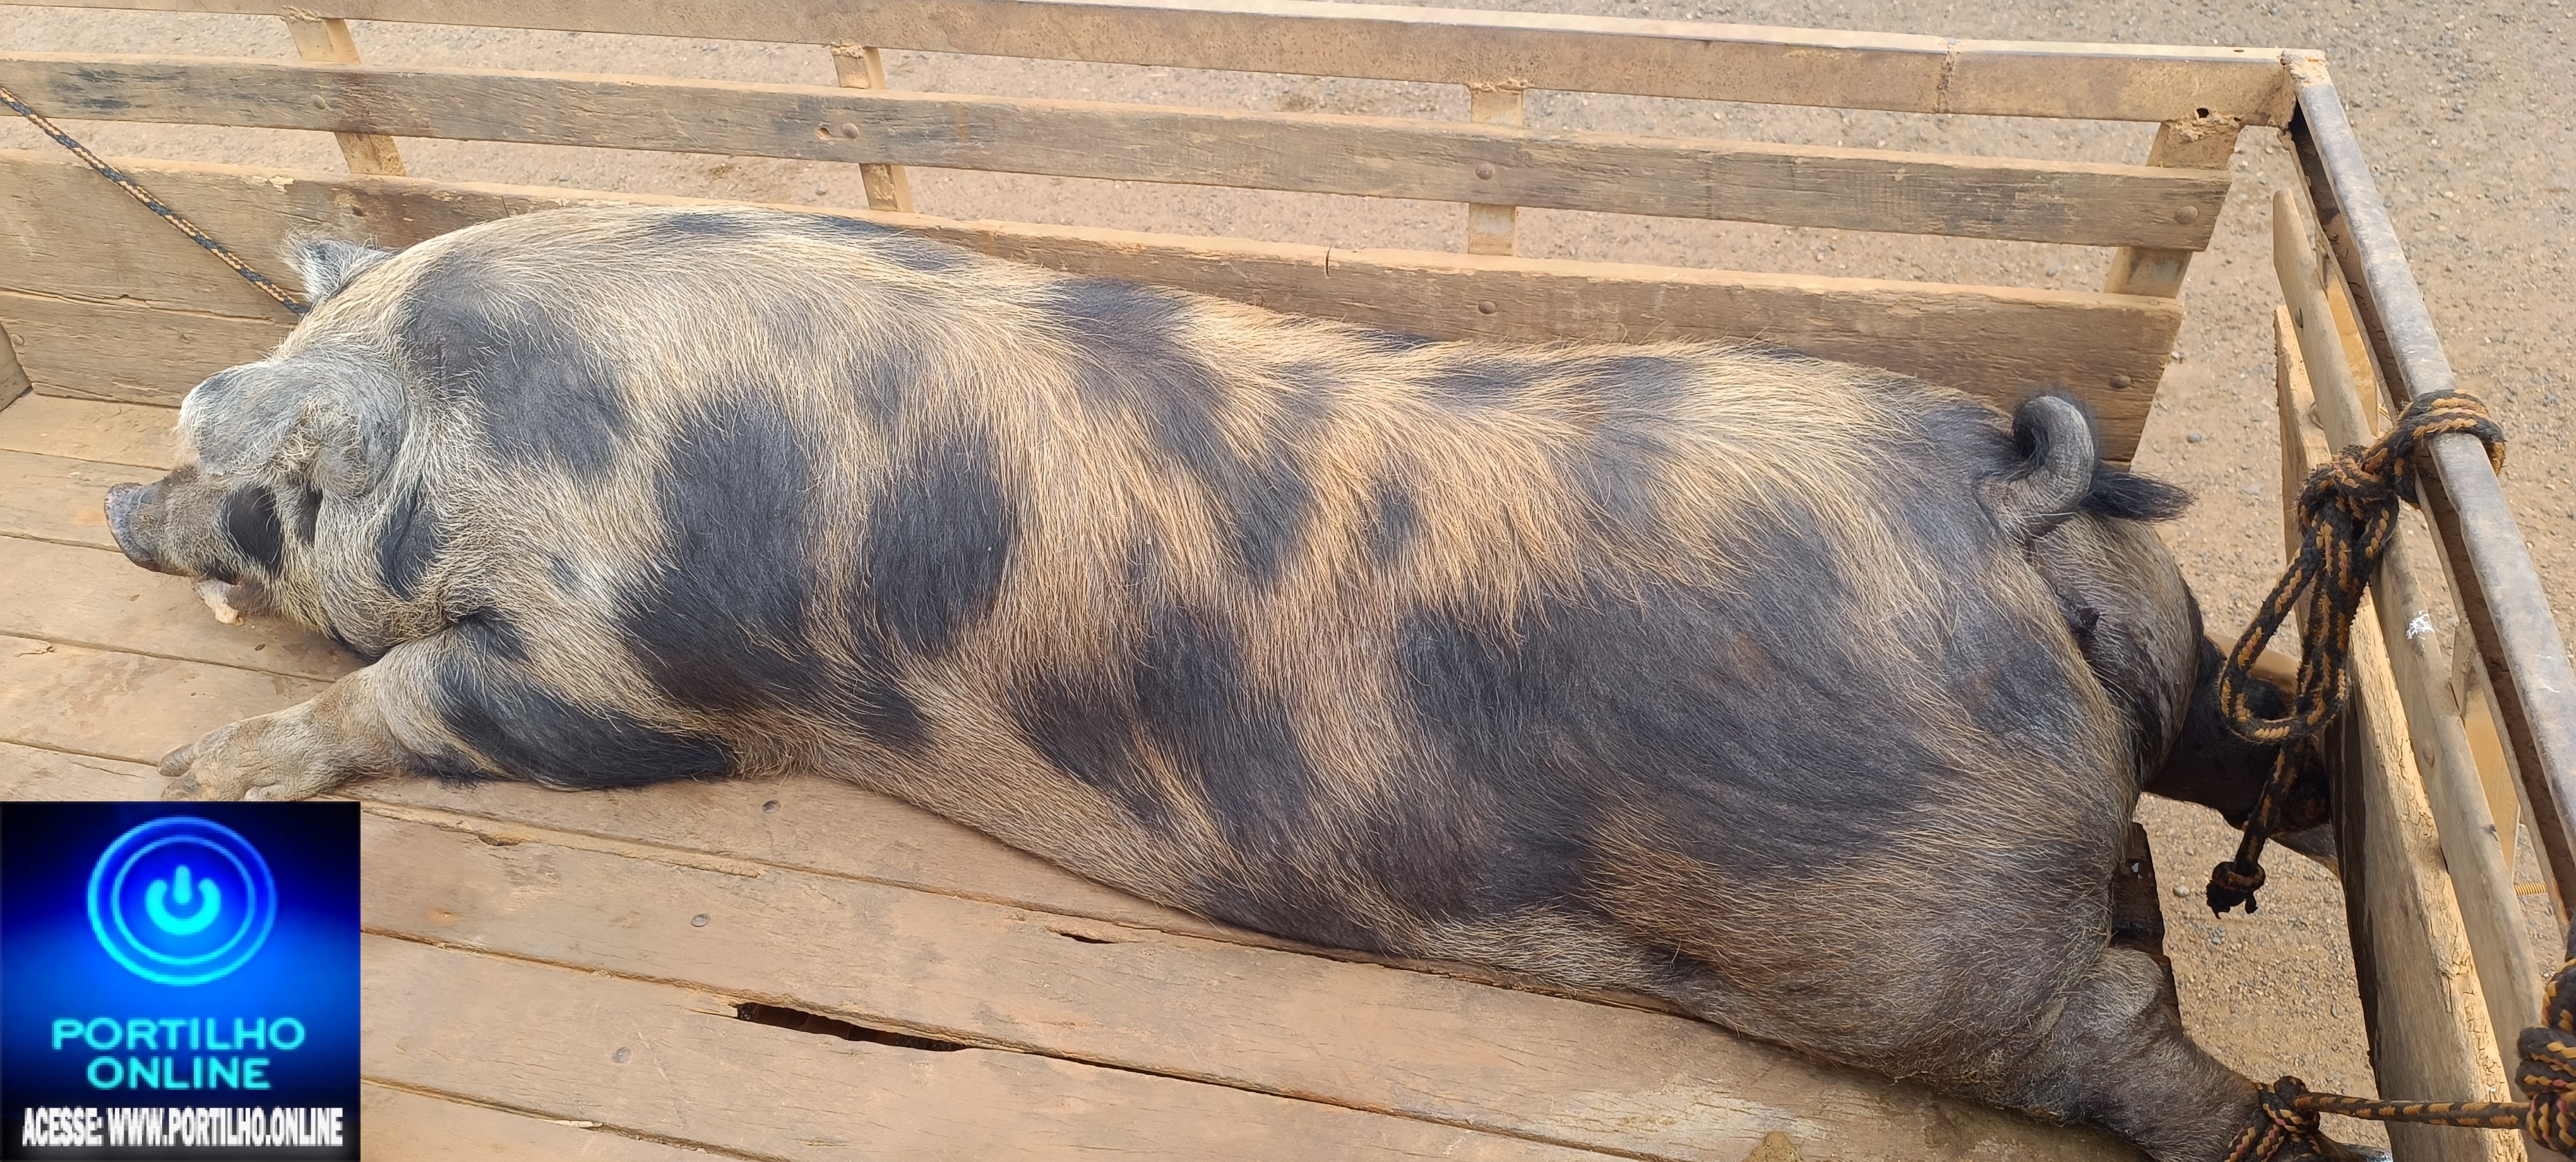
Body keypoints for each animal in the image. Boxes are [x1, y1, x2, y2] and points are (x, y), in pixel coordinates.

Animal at [105, 204, 2351, 1161]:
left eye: (264, 488)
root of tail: (2006, 498)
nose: (131, 498)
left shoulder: (634, 672)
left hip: (1914, 935)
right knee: (2257, 745)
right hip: (2163, 652)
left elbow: (428, 702)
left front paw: (199, 748)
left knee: (2129, 1041)